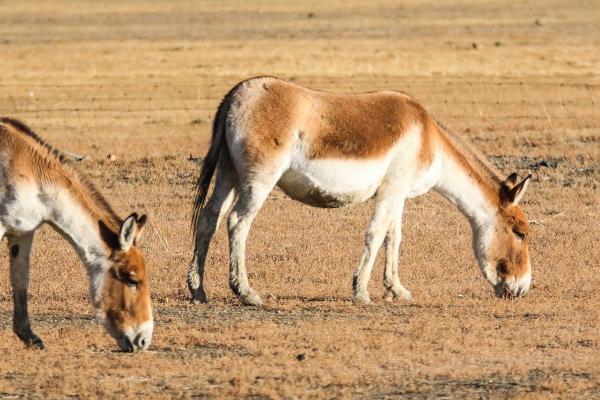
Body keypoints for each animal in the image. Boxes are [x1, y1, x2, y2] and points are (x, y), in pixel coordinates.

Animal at [0, 118, 152, 350]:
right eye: (132, 280)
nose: (143, 340)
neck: (31, 171)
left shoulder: (22, 231)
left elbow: (21, 281)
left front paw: (29, 336)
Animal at [186, 76, 528, 304]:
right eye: (521, 233)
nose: (522, 288)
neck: (429, 139)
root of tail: (236, 94)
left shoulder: (398, 194)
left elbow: (394, 237)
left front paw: (397, 289)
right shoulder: (391, 189)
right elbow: (375, 234)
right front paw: (361, 292)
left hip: (229, 173)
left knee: (209, 219)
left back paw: (198, 291)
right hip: (259, 178)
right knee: (237, 222)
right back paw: (246, 292)